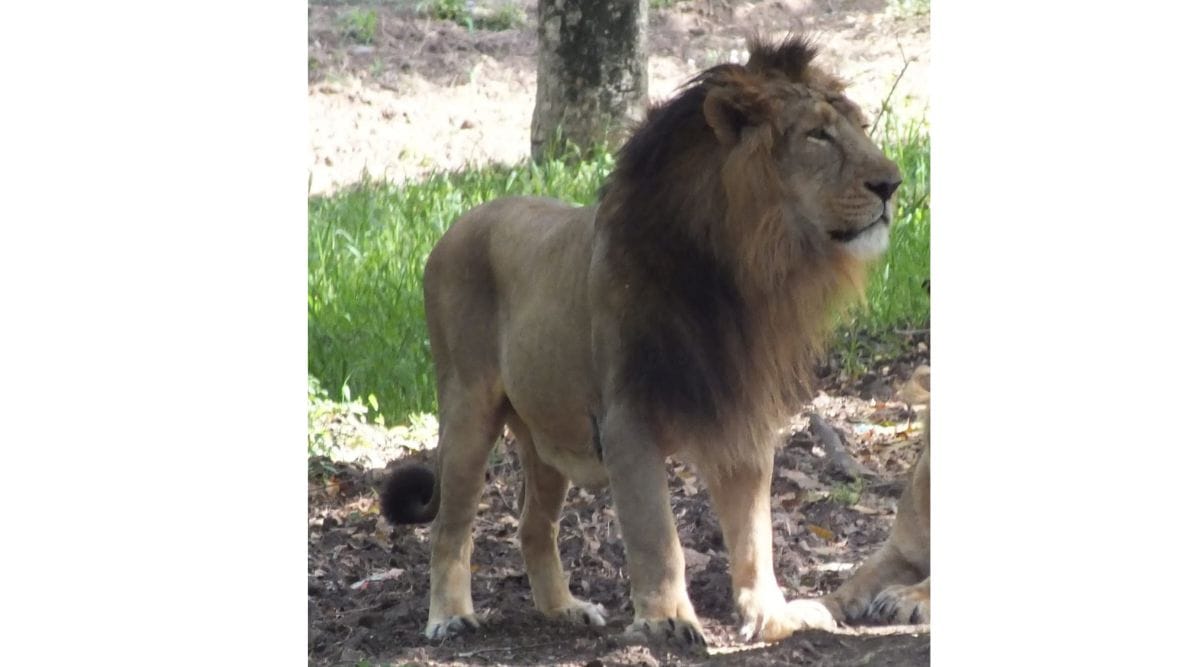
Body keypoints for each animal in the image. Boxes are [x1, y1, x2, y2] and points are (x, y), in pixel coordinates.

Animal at [380, 35, 903, 650]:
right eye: (818, 135)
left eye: (861, 126)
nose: (893, 183)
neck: (743, 270)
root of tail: (457, 224)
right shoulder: (627, 418)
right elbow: (657, 532)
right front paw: (666, 621)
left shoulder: (742, 414)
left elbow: (755, 532)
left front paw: (773, 616)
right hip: (467, 410)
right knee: (450, 526)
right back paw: (449, 617)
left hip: (547, 433)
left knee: (534, 525)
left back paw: (564, 609)